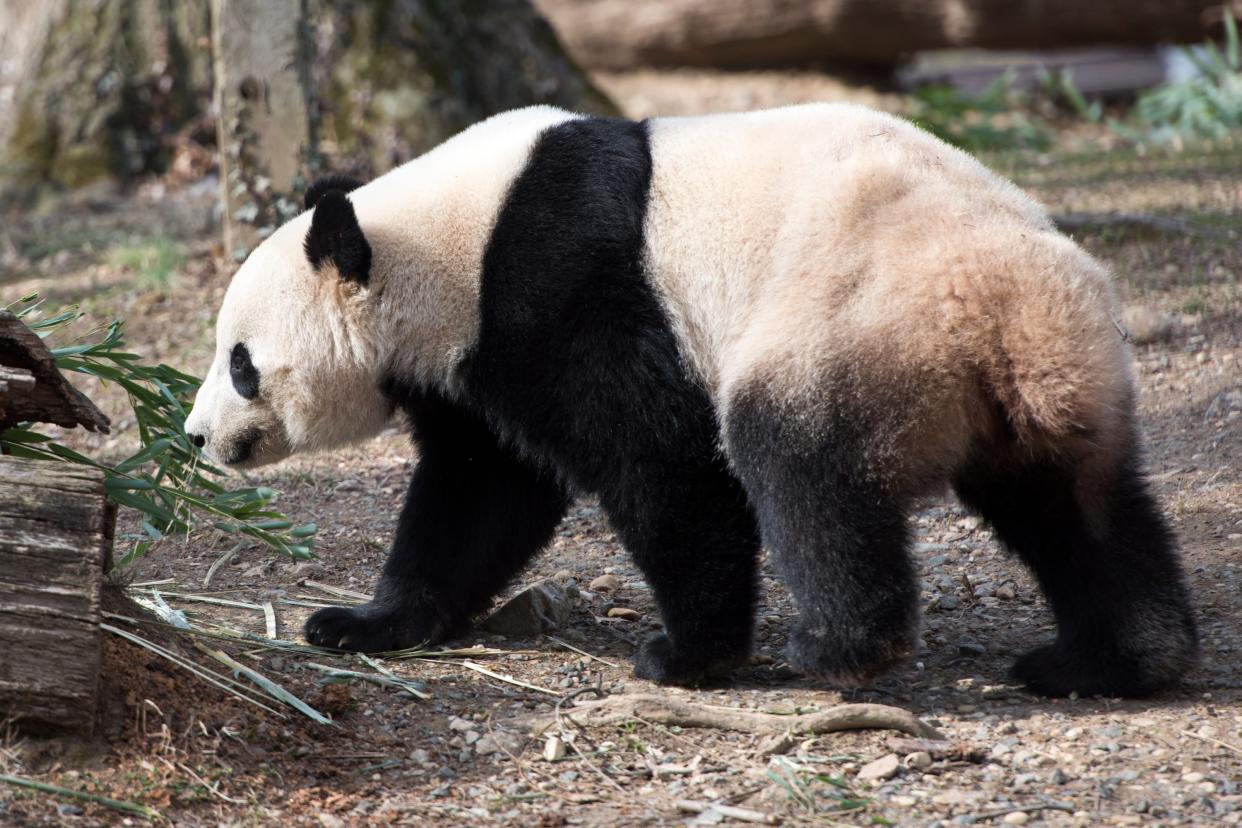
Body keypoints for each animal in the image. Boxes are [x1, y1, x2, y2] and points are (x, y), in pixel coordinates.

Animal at [181, 103, 1192, 700]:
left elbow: (660, 460)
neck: (440, 240)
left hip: (860, 317)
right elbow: (480, 491)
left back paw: (839, 645)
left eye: (241, 364)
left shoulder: (562, 283)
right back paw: (1117, 658)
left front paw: (689, 654)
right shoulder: (467, 360)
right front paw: (363, 623)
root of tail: (1006, 311)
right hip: (1062, 378)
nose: (195, 436)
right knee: (1083, 509)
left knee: (798, 459)